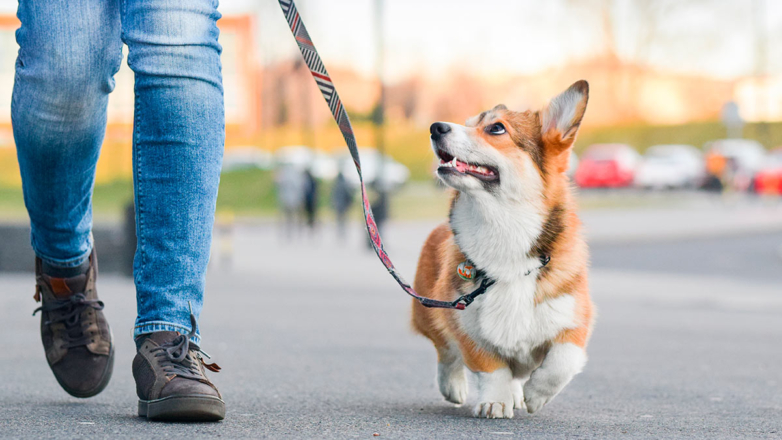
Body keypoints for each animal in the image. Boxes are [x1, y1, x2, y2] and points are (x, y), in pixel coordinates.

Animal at [410, 80, 596, 420]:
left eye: (496, 128)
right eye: (468, 123)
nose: (435, 127)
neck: (503, 228)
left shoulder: (575, 319)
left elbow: (563, 361)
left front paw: (535, 395)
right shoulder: (464, 322)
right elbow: (490, 367)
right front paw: (495, 401)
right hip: (428, 311)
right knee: (446, 352)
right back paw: (454, 386)